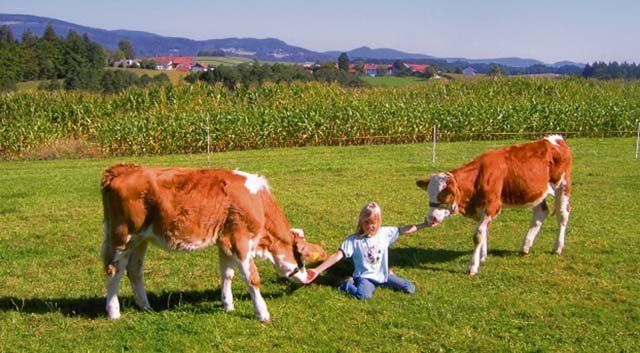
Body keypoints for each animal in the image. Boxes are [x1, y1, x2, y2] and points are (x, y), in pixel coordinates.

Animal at [103, 164, 330, 320]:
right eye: (299, 257)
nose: (308, 277)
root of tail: (123, 169)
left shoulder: (225, 241)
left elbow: (227, 274)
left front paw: (228, 305)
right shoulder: (240, 240)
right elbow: (251, 277)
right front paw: (262, 313)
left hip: (141, 239)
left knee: (134, 270)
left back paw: (145, 306)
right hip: (122, 237)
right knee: (115, 270)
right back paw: (114, 312)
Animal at [418, 135, 572, 276]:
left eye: (446, 195)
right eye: (429, 194)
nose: (431, 218)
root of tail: (554, 138)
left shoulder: (492, 207)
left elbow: (478, 235)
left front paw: (472, 266)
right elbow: (484, 231)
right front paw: (482, 257)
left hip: (563, 185)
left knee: (563, 215)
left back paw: (558, 247)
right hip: (536, 192)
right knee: (540, 213)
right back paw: (525, 247)